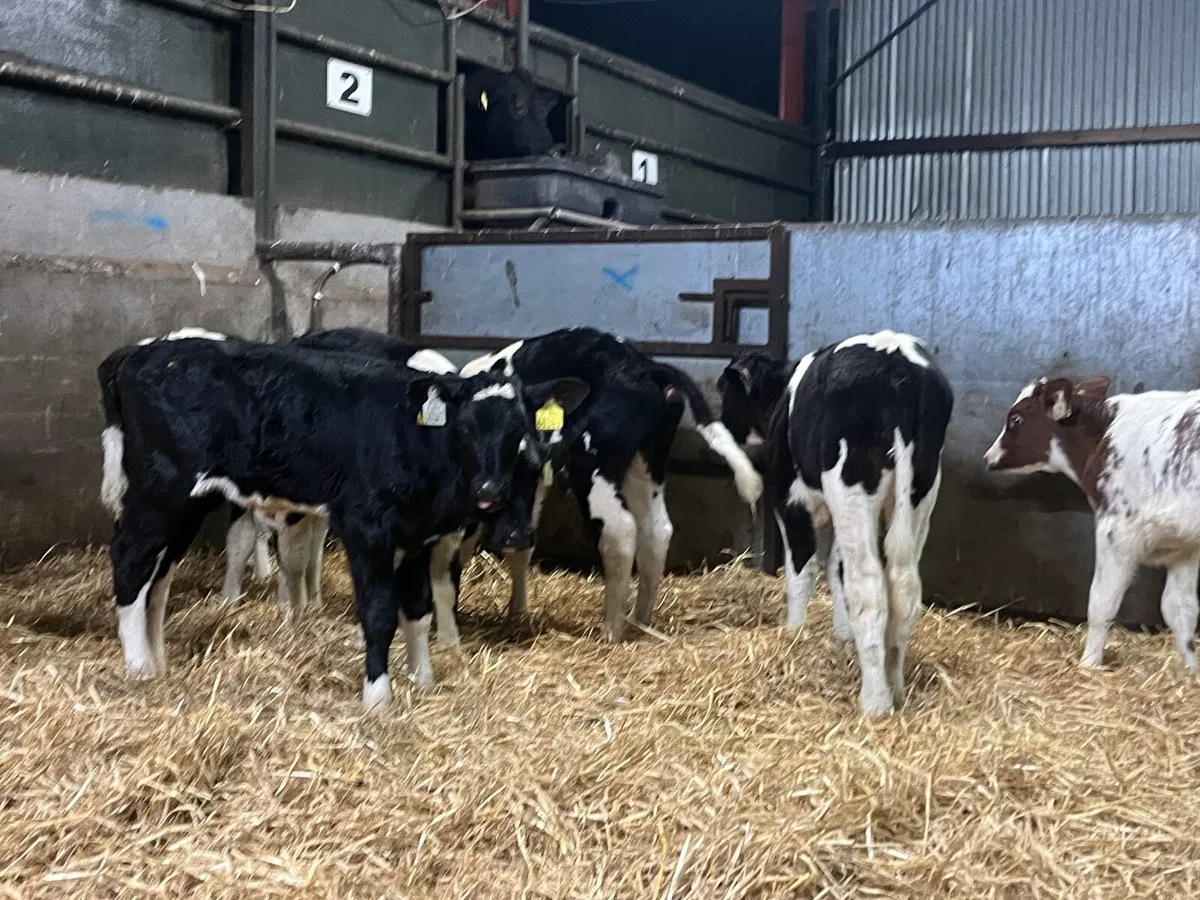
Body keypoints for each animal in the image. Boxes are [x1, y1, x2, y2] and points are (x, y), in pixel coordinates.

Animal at [97, 330, 587, 712]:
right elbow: (379, 612)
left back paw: (157, 662)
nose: (489, 490)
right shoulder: (366, 528)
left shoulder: (420, 536)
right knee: (130, 559)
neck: (415, 440)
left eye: (519, 431)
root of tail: (139, 352)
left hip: (187, 503)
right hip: (159, 489)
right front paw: (378, 699)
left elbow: (419, 609)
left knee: (158, 576)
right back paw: (137, 667)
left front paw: (423, 679)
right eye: (464, 427)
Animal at [457, 327, 763, 643]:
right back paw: (641, 623)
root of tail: (646, 366)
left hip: (592, 463)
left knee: (620, 530)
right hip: (646, 461)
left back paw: (612, 630)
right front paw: (516, 615)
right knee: (656, 531)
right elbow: (518, 548)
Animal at [718, 331, 953, 717]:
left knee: (869, 587)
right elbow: (835, 569)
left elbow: (803, 567)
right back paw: (895, 687)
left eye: (726, 389)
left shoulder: (790, 499)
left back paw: (875, 701)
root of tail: (897, 361)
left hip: (852, 489)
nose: (723, 424)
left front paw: (794, 632)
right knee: (903, 586)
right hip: (920, 492)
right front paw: (843, 637)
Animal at [984, 376, 1200, 672]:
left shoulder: (1117, 530)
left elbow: (1101, 602)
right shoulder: (1183, 545)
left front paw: (1088, 664)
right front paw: (1191, 672)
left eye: (1015, 419)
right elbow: (1180, 608)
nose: (987, 458)